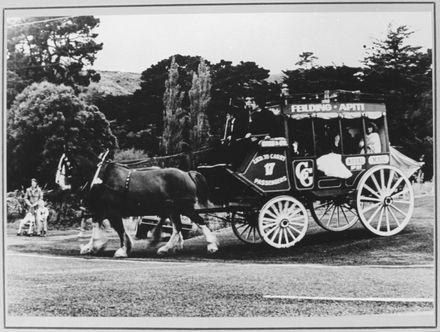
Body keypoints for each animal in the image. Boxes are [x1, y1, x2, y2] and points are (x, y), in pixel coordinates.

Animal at [55, 149, 217, 258]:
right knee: (177, 227)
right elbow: (99, 226)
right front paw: (92, 246)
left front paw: (121, 250)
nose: (59, 185)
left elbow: (119, 230)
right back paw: (166, 248)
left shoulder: (112, 212)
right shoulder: (102, 210)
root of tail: (187, 173)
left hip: (186, 207)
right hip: (174, 209)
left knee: (200, 223)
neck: (102, 177)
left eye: (67, 164)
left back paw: (212, 246)